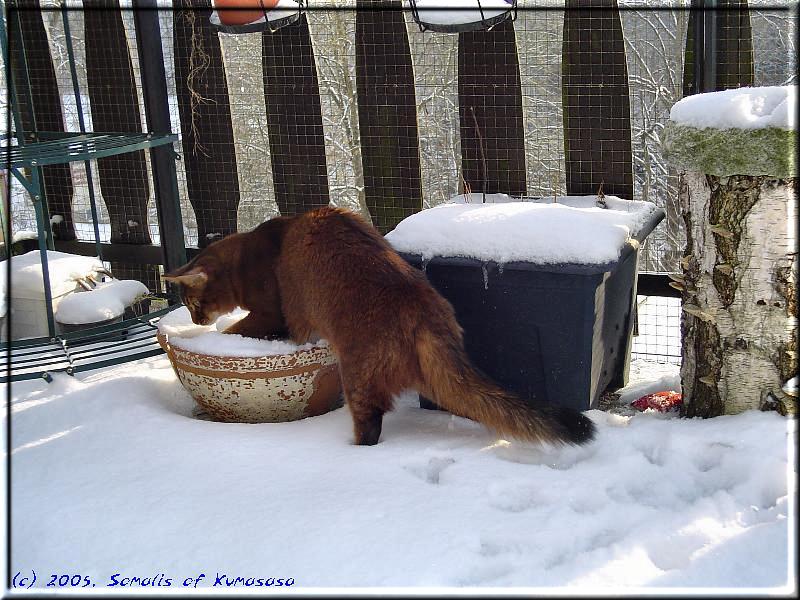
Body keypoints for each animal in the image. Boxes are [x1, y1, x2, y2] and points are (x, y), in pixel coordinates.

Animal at [167, 206, 592, 446]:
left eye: (193, 303)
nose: (195, 318)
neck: (248, 253)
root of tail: (422, 307)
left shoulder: (274, 315)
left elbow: (233, 331)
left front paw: (208, 336)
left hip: (357, 375)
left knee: (369, 425)